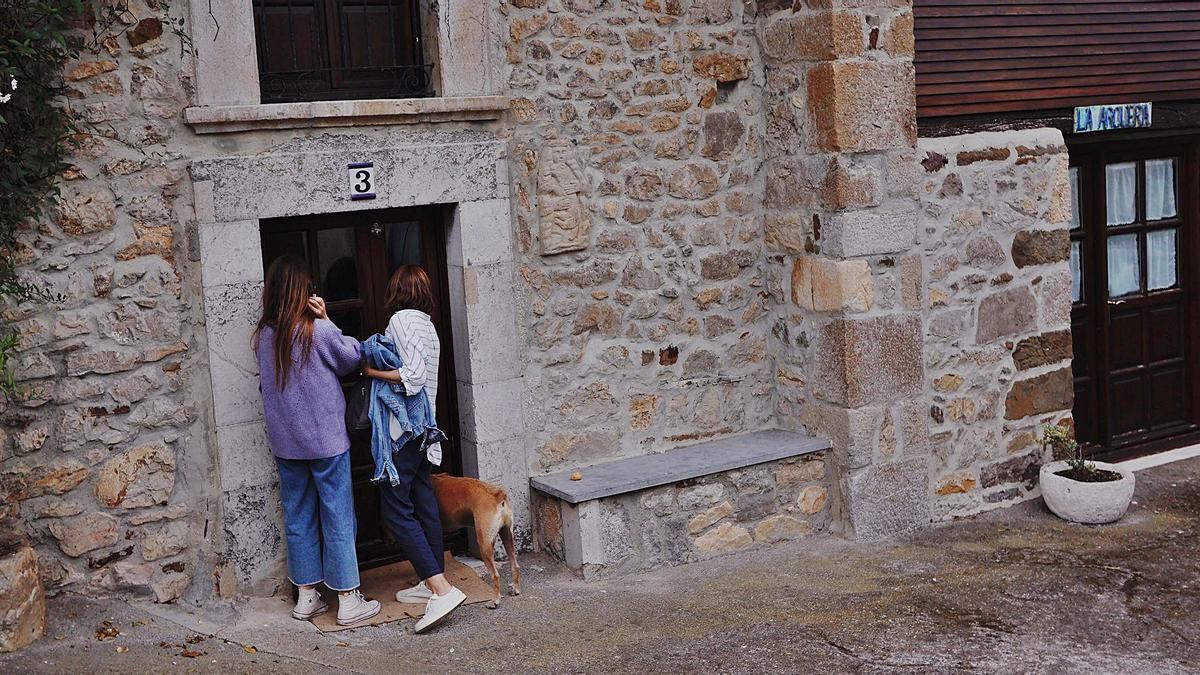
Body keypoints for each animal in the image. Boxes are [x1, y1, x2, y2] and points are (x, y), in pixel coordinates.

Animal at [434, 470, 523, 607]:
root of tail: (497, 495)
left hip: (484, 544)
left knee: (495, 575)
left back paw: (495, 600)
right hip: (507, 537)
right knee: (515, 566)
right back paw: (515, 588)